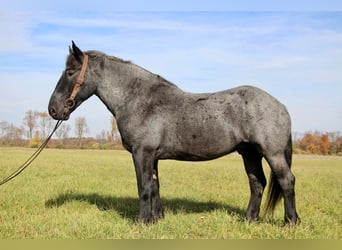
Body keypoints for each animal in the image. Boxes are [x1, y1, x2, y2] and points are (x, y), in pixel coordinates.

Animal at [48, 41, 300, 225]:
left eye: (70, 72)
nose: (53, 109)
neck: (140, 99)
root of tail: (280, 105)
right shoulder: (152, 156)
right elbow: (154, 186)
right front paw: (156, 219)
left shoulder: (142, 153)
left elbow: (143, 186)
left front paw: (141, 222)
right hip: (249, 153)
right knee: (257, 183)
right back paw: (250, 219)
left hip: (272, 153)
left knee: (286, 181)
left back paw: (291, 222)